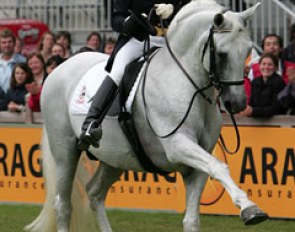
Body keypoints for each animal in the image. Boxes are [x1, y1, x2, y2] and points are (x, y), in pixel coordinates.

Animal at [26, 0, 268, 232]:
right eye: (221, 53)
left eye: (248, 50)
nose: (237, 103)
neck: (186, 82)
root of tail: (60, 67)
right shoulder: (177, 145)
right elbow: (219, 167)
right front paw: (250, 209)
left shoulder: (198, 163)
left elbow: (192, 218)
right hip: (65, 152)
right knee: (63, 205)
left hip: (116, 157)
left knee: (95, 194)